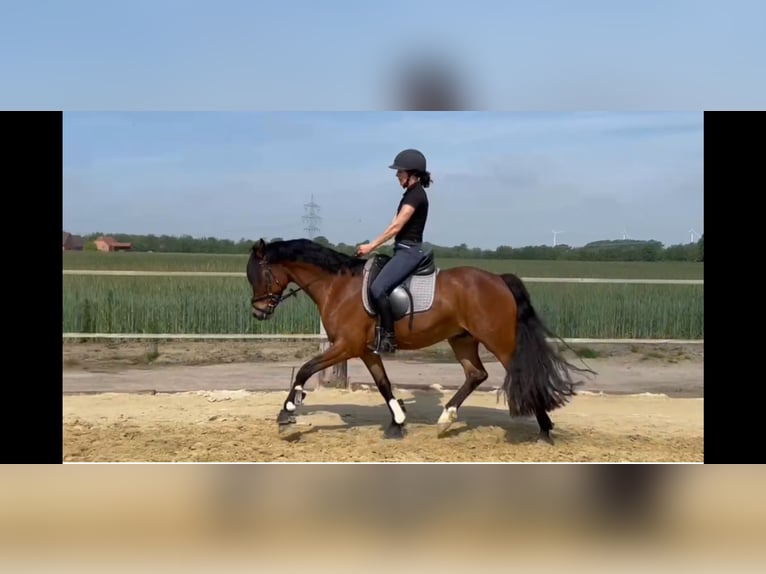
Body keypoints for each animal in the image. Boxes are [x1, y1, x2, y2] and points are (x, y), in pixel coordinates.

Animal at [246, 238, 595, 444]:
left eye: (259, 274)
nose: (258, 313)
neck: (337, 285)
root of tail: (498, 280)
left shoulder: (345, 346)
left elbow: (306, 369)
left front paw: (287, 412)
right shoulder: (365, 350)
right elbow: (384, 384)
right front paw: (398, 422)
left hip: (500, 341)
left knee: (523, 374)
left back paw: (545, 429)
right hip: (462, 339)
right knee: (476, 374)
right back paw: (446, 419)